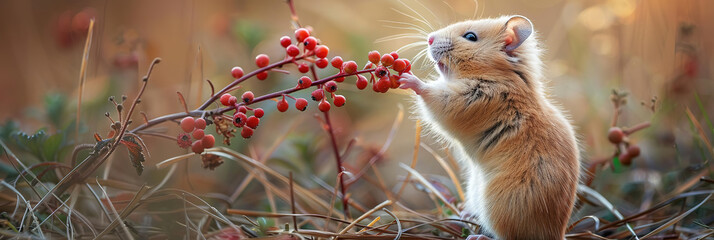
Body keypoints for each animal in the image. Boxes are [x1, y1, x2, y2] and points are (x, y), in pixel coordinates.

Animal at [400, 15, 580, 239]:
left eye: (470, 37)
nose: (429, 39)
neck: (502, 77)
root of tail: (556, 234)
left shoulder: (467, 100)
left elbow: (432, 94)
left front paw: (407, 79)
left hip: (500, 206)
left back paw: (476, 235)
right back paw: (465, 213)